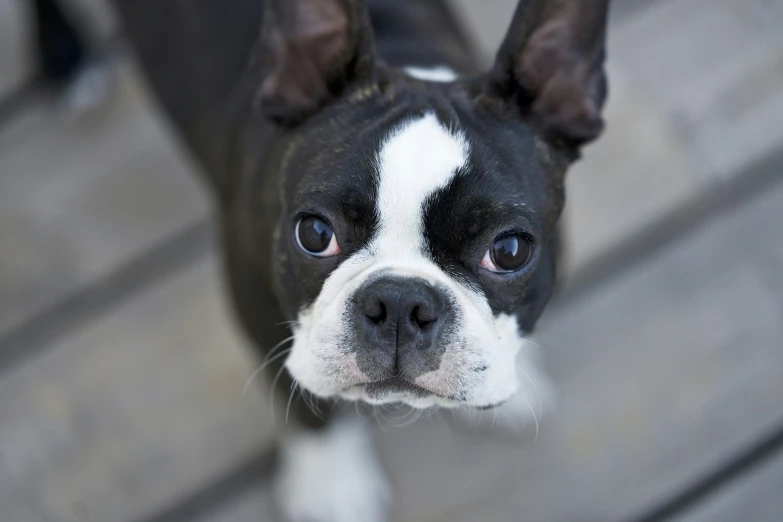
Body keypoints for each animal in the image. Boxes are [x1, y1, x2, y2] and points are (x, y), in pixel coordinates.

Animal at [33, 0, 612, 516]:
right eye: (314, 233)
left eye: (510, 251)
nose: (400, 303)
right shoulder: (258, 309)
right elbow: (306, 404)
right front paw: (332, 482)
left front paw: (518, 381)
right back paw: (67, 57)